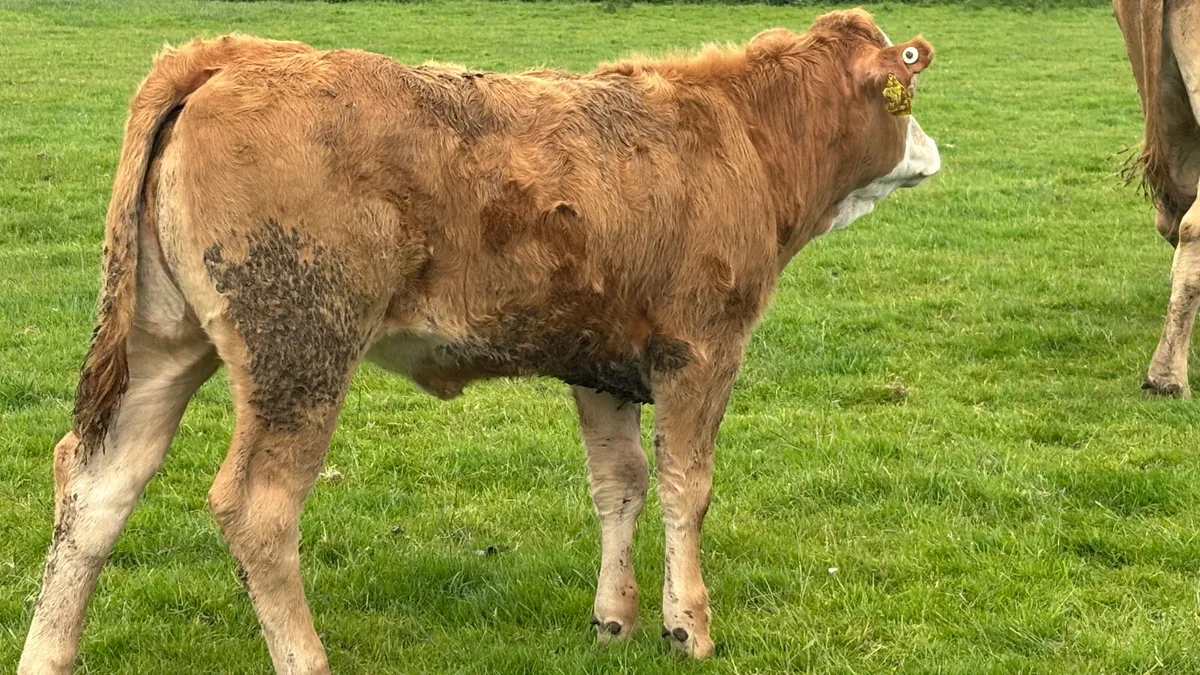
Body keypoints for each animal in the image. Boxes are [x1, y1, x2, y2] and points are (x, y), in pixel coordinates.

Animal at [18, 9, 939, 673]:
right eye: (906, 80)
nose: (934, 152)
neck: (738, 137)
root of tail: (228, 55)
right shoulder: (702, 351)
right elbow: (687, 486)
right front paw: (689, 626)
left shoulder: (598, 365)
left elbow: (620, 485)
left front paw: (614, 617)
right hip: (301, 348)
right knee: (256, 507)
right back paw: (305, 656)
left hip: (162, 345)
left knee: (96, 485)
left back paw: (48, 652)